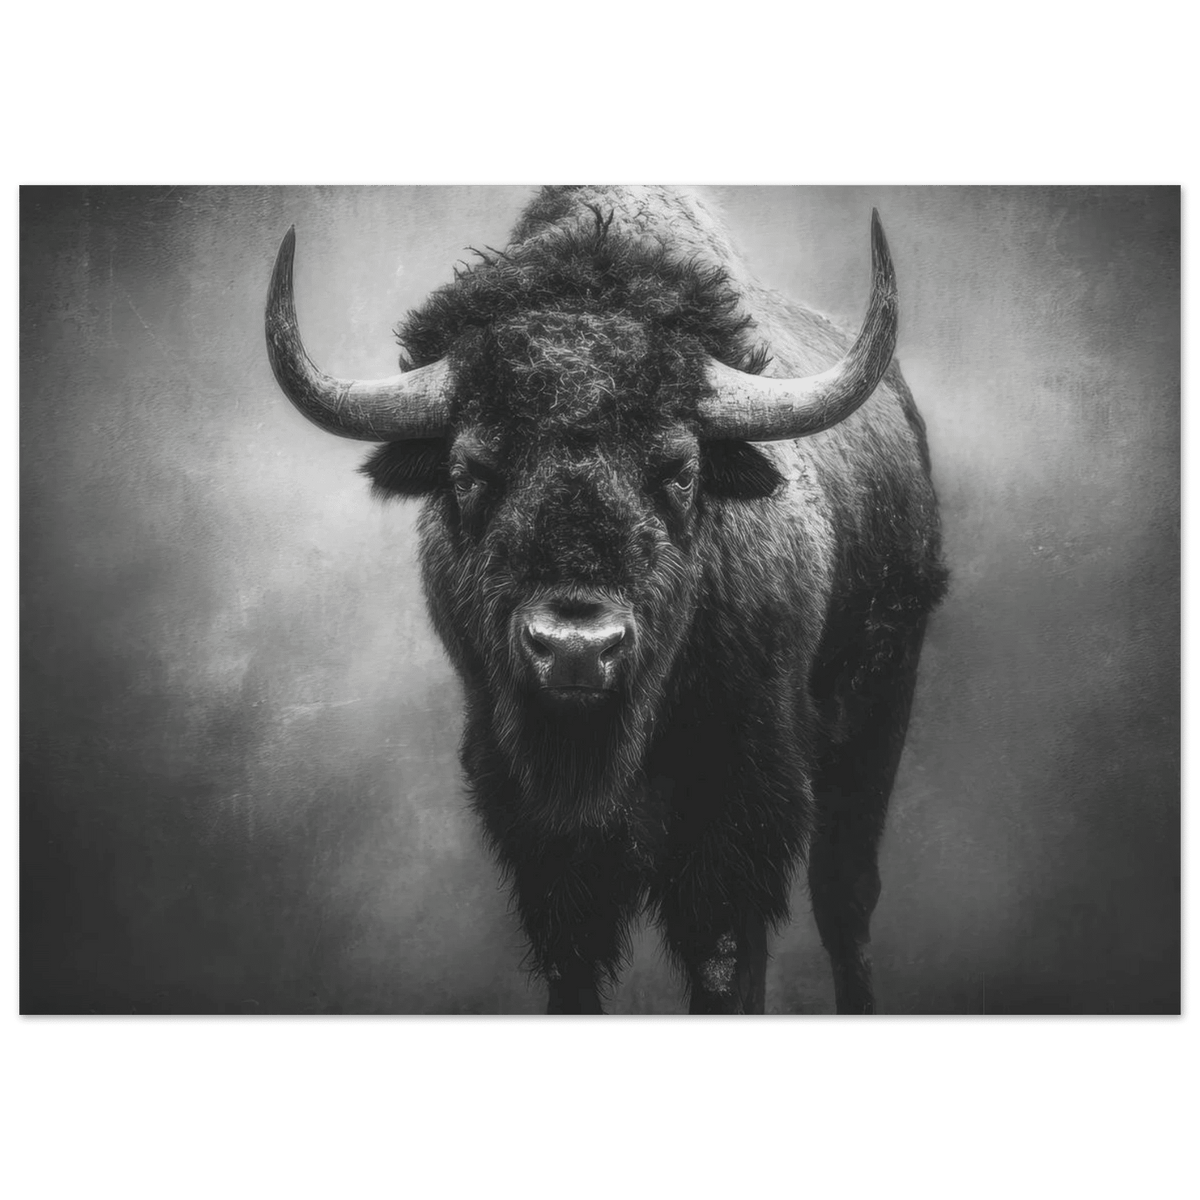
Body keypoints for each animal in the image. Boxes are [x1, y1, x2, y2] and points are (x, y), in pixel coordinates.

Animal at [265, 185, 947, 1015]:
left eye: (680, 470)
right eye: (469, 471)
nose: (576, 649)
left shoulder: (739, 807)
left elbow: (724, 956)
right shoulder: (535, 827)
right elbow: (575, 960)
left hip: (876, 706)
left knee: (844, 897)